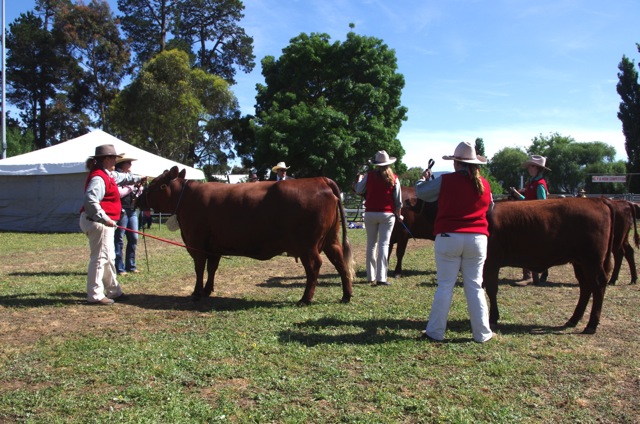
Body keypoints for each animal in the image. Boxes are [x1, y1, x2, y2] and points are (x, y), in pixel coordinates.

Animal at [139, 166, 356, 304]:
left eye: (158, 184)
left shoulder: (197, 243)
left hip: (307, 245)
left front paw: (196, 292)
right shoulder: (213, 247)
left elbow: (199, 268)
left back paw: (305, 299)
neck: (187, 199)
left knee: (314, 267)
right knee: (340, 263)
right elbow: (212, 268)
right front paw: (208, 290)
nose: (137, 199)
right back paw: (346, 295)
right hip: (330, 240)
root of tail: (320, 179)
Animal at [482, 197, 616, 332]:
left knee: (598, 285)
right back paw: (573, 320)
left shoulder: (491, 263)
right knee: (585, 285)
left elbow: (491, 290)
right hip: (580, 262)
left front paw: (492, 318)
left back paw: (591, 325)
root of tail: (597, 199)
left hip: (592, 261)